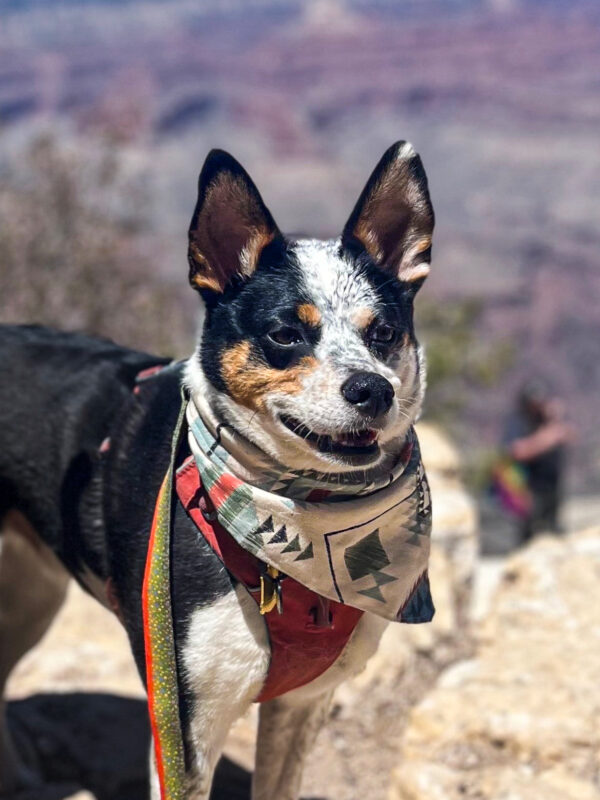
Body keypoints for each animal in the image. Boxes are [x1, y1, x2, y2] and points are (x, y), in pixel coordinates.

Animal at [0, 144, 432, 800]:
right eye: (285, 333)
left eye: (383, 332)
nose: (372, 389)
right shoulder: (185, 724)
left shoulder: (303, 705)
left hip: (30, 592)